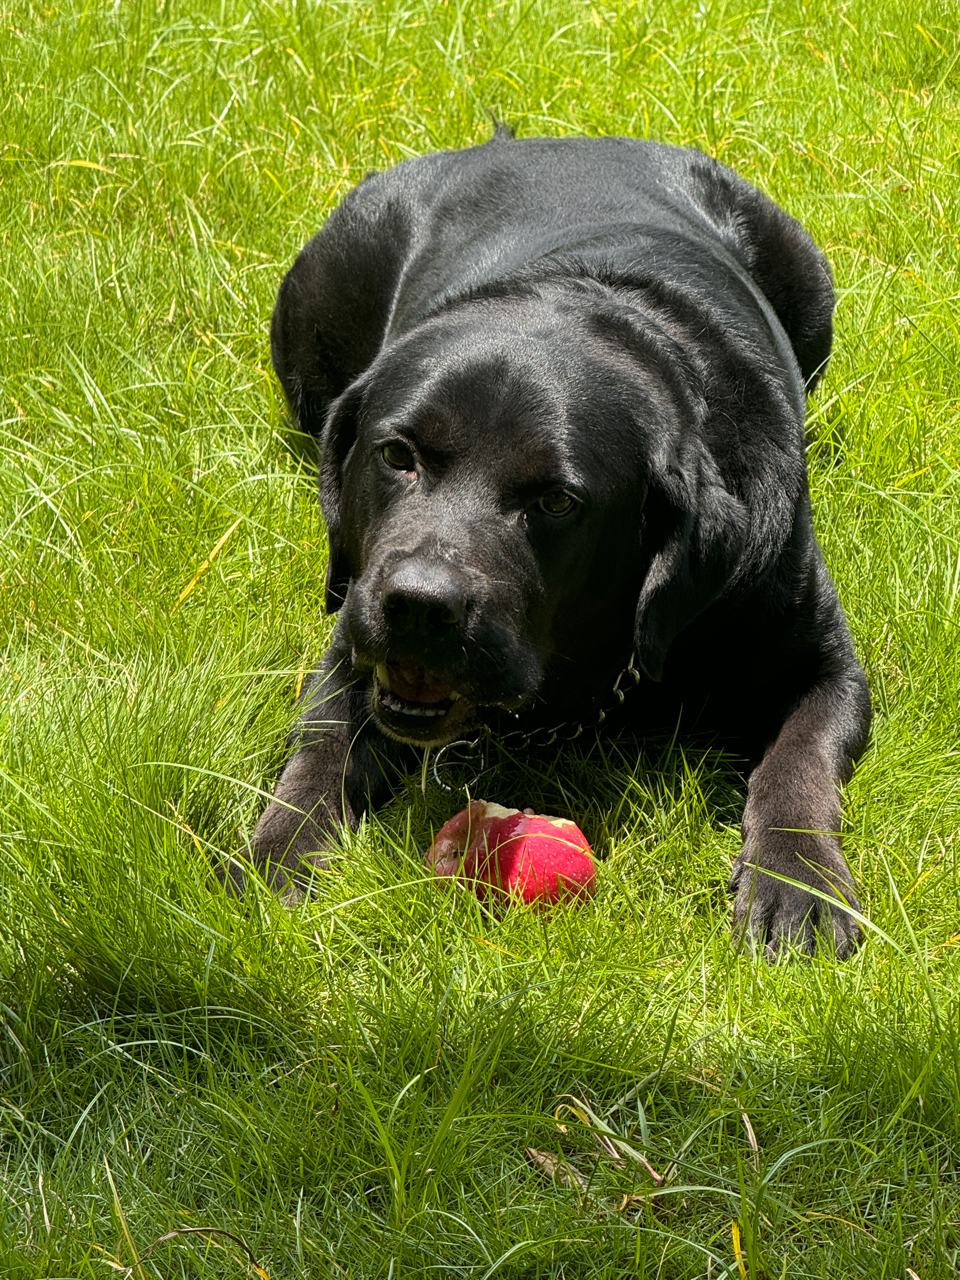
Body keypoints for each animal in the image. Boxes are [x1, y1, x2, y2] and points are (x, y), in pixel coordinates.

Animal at [245, 129, 870, 962]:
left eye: (556, 501)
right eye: (396, 455)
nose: (419, 605)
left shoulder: (823, 660)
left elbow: (798, 761)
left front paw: (796, 881)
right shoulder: (353, 634)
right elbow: (322, 744)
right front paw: (279, 854)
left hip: (811, 284)